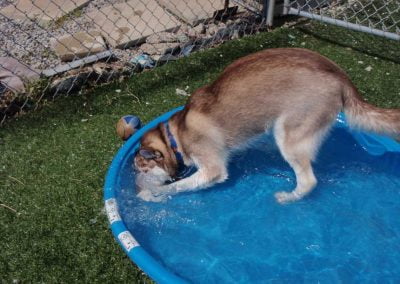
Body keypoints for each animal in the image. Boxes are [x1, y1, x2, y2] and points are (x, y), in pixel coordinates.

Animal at [134, 48, 400, 203]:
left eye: (142, 169)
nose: (136, 182)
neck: (175, 135)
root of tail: (341, 76)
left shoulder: (212, 168)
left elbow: (179, 186)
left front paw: (152, 193)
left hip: (289, 132)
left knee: (308, 180)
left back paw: (288, 197)